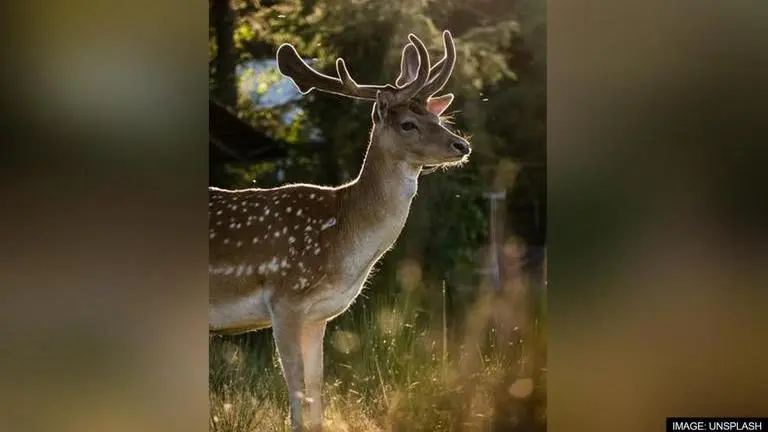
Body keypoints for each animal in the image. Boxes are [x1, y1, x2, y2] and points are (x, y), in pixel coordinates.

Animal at [209, 30, 470, 431]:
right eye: (407, 124)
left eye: (436, 116)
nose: (462, 145)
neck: (343, 242)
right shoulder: (284, 299)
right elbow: (297, 396)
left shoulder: (319, 315)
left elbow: (317, 394)